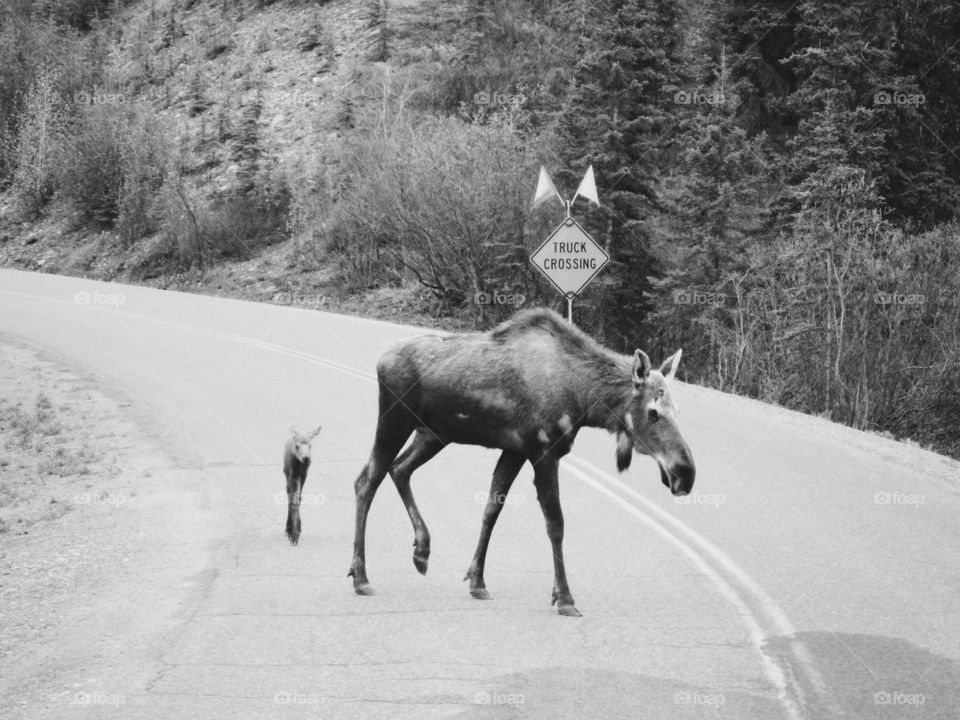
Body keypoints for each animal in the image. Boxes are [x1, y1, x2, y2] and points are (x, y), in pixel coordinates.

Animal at [347, 308, 695, 616]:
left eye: (678, 410)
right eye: (653, 411)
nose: (685, 474)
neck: (584, 401)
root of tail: (380, 360)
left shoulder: (515, 450)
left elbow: (492, 509)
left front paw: (477, 580)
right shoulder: (544, 452)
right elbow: (555, 524)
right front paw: (564, 597)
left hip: (433, 434)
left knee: (399, 469)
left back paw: (422, 550)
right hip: (395, 420)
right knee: (367, 479)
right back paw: (360, 576)